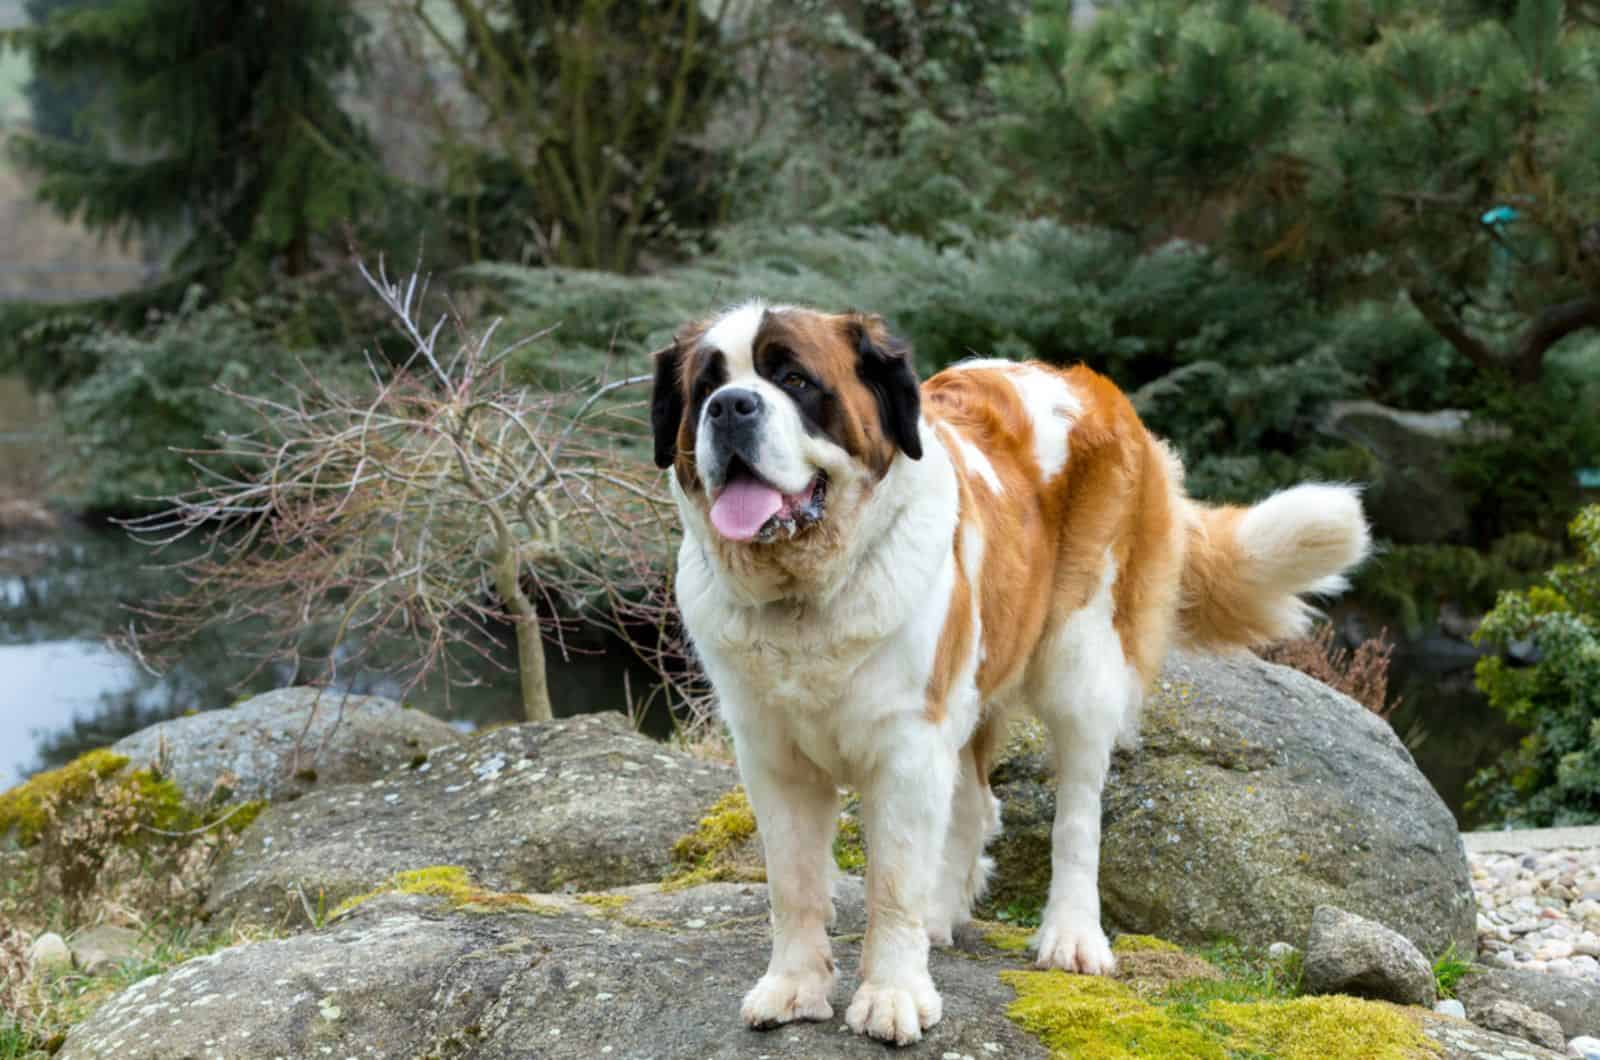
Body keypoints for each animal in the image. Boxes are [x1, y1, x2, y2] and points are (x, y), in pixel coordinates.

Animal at [643, 302, 1369, 1050]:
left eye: (794, 379)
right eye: (706, 387)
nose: (732, 407)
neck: (806, 597)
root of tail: (1086, 381)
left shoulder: (907, 747)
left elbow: (892, 884)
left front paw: (893, 994)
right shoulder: (774, 757)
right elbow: (793, 885)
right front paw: (795, 987)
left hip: (1081, 662)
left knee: (1077, 814)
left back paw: (1071, 935)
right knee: (974, 805)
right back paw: (944, 914)